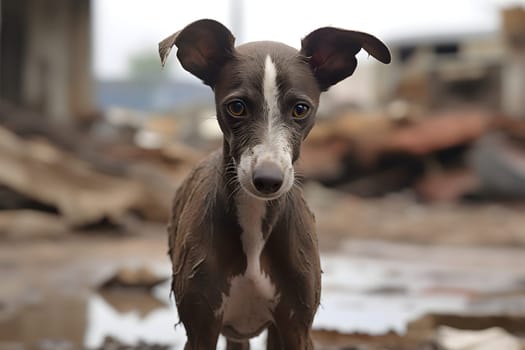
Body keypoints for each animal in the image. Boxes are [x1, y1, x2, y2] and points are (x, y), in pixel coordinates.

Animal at [160, 19, 388, 350]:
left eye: (301, 109)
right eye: (237, 107)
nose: (268, 180)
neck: (255, 220)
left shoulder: (297, 327)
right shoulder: (201, 328)